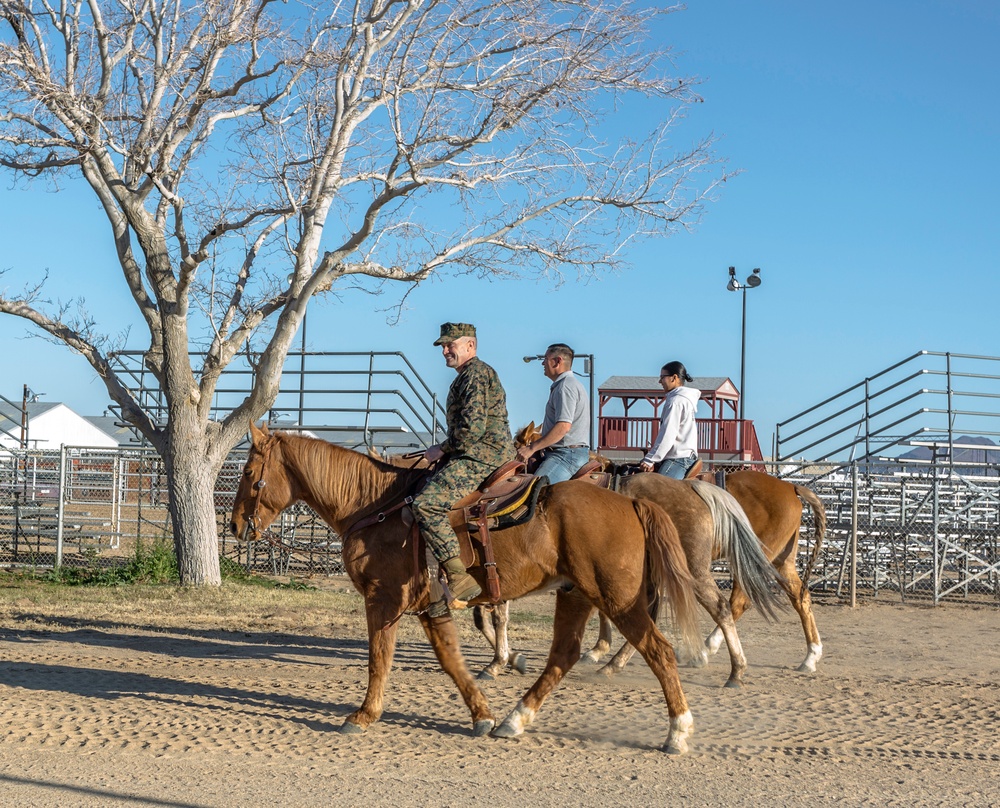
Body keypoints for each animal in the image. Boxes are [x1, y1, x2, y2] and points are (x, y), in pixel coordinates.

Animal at [233, 422, 704, 752]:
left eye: (250, 472)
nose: (237, 526)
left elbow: (378, 660)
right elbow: (451, 660)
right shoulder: (430, 605)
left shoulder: (383, 600)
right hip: (574, 594)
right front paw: (482, 714)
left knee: (658, 650)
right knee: (563, 656)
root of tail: (631, 500)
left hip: (617, 599)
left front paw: (363, 715)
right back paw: (515, 719)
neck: (376, 506)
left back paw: (678, 731)